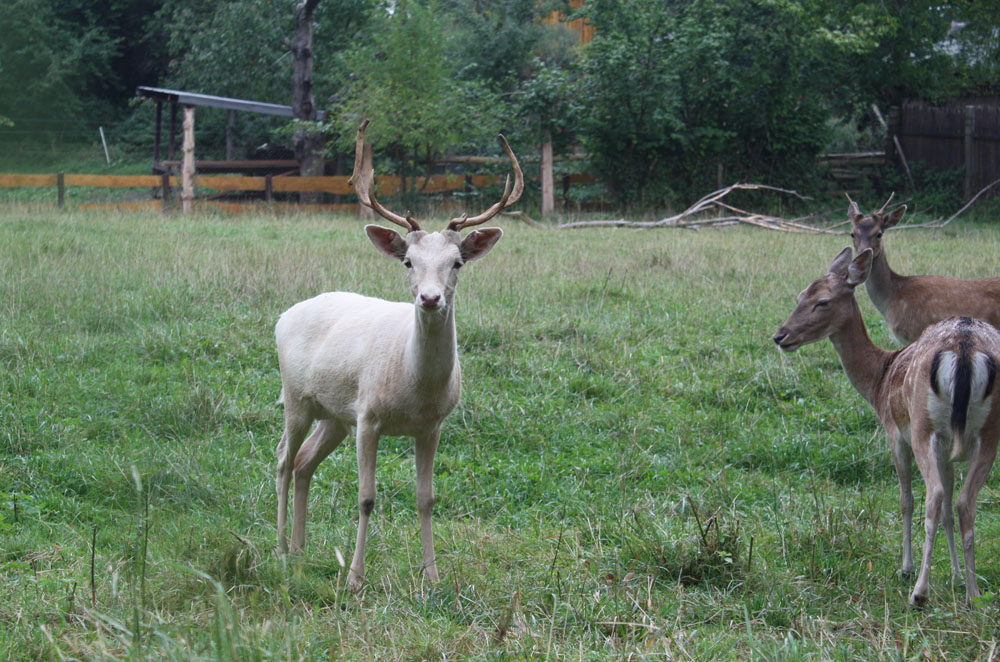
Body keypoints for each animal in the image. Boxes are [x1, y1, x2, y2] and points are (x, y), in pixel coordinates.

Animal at [274, 120, 524, 592]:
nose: (430, 298)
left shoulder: (433, 425)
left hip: (335, 415)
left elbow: (426, 498)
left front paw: (433, 576)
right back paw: (279, 548)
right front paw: (355, 579)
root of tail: (283, 316)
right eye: (407, 261)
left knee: (302, 463)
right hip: (296, 397)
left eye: (458, 262)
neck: (414, 386)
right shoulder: (369, 416)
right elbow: (366, 497)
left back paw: (299, 549)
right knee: (281, 459)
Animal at [772, 248, 1000, 608]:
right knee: (965, 503)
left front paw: (907, 567)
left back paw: (919, 592)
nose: (781, 336)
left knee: (933, 496)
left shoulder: (895, 432)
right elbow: (949, 510)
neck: (879, 379)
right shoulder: (947, 448)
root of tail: (964, 347)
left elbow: (906, 499)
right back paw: (973, 595)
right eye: (799, 296)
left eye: (822, 302)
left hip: (922, 426)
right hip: (989, 432)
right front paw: (957, 575)